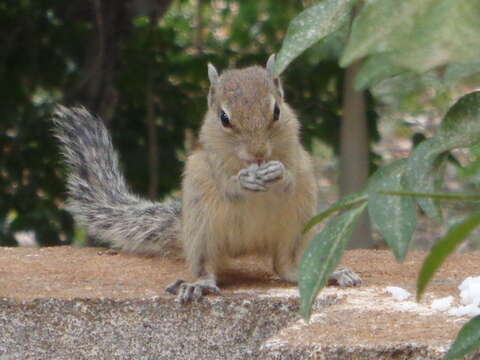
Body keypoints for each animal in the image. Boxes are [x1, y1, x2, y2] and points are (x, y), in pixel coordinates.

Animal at [53, 54, 360, 302]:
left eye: (277, 111)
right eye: (224, 118)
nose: (259, 153)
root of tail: (247, 247)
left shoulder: (299, 157)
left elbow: (291, 178)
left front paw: (278, 173)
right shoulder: (210, 162)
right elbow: (227, 185)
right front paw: (243, 181)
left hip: (297, 226)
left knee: (286, 268)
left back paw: (328, 274)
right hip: (202, 227)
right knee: (207, 268)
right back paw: (198, 285)